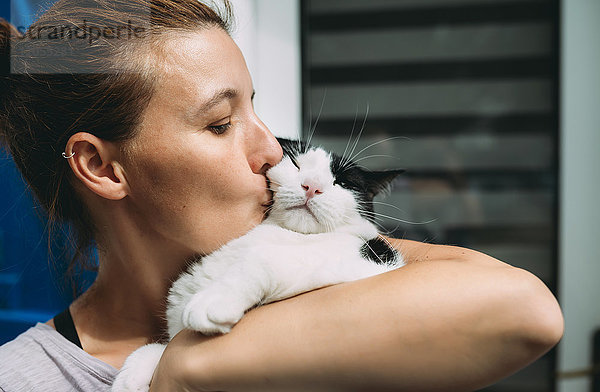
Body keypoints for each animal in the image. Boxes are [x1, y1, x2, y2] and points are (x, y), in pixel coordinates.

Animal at [111, 139, 404, 392]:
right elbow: (159, 348)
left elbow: (265, 258)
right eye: (296, 163)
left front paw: (215, 300)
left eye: (342, 182)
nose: (311, 186)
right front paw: (130, 377)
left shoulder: (367, 264)